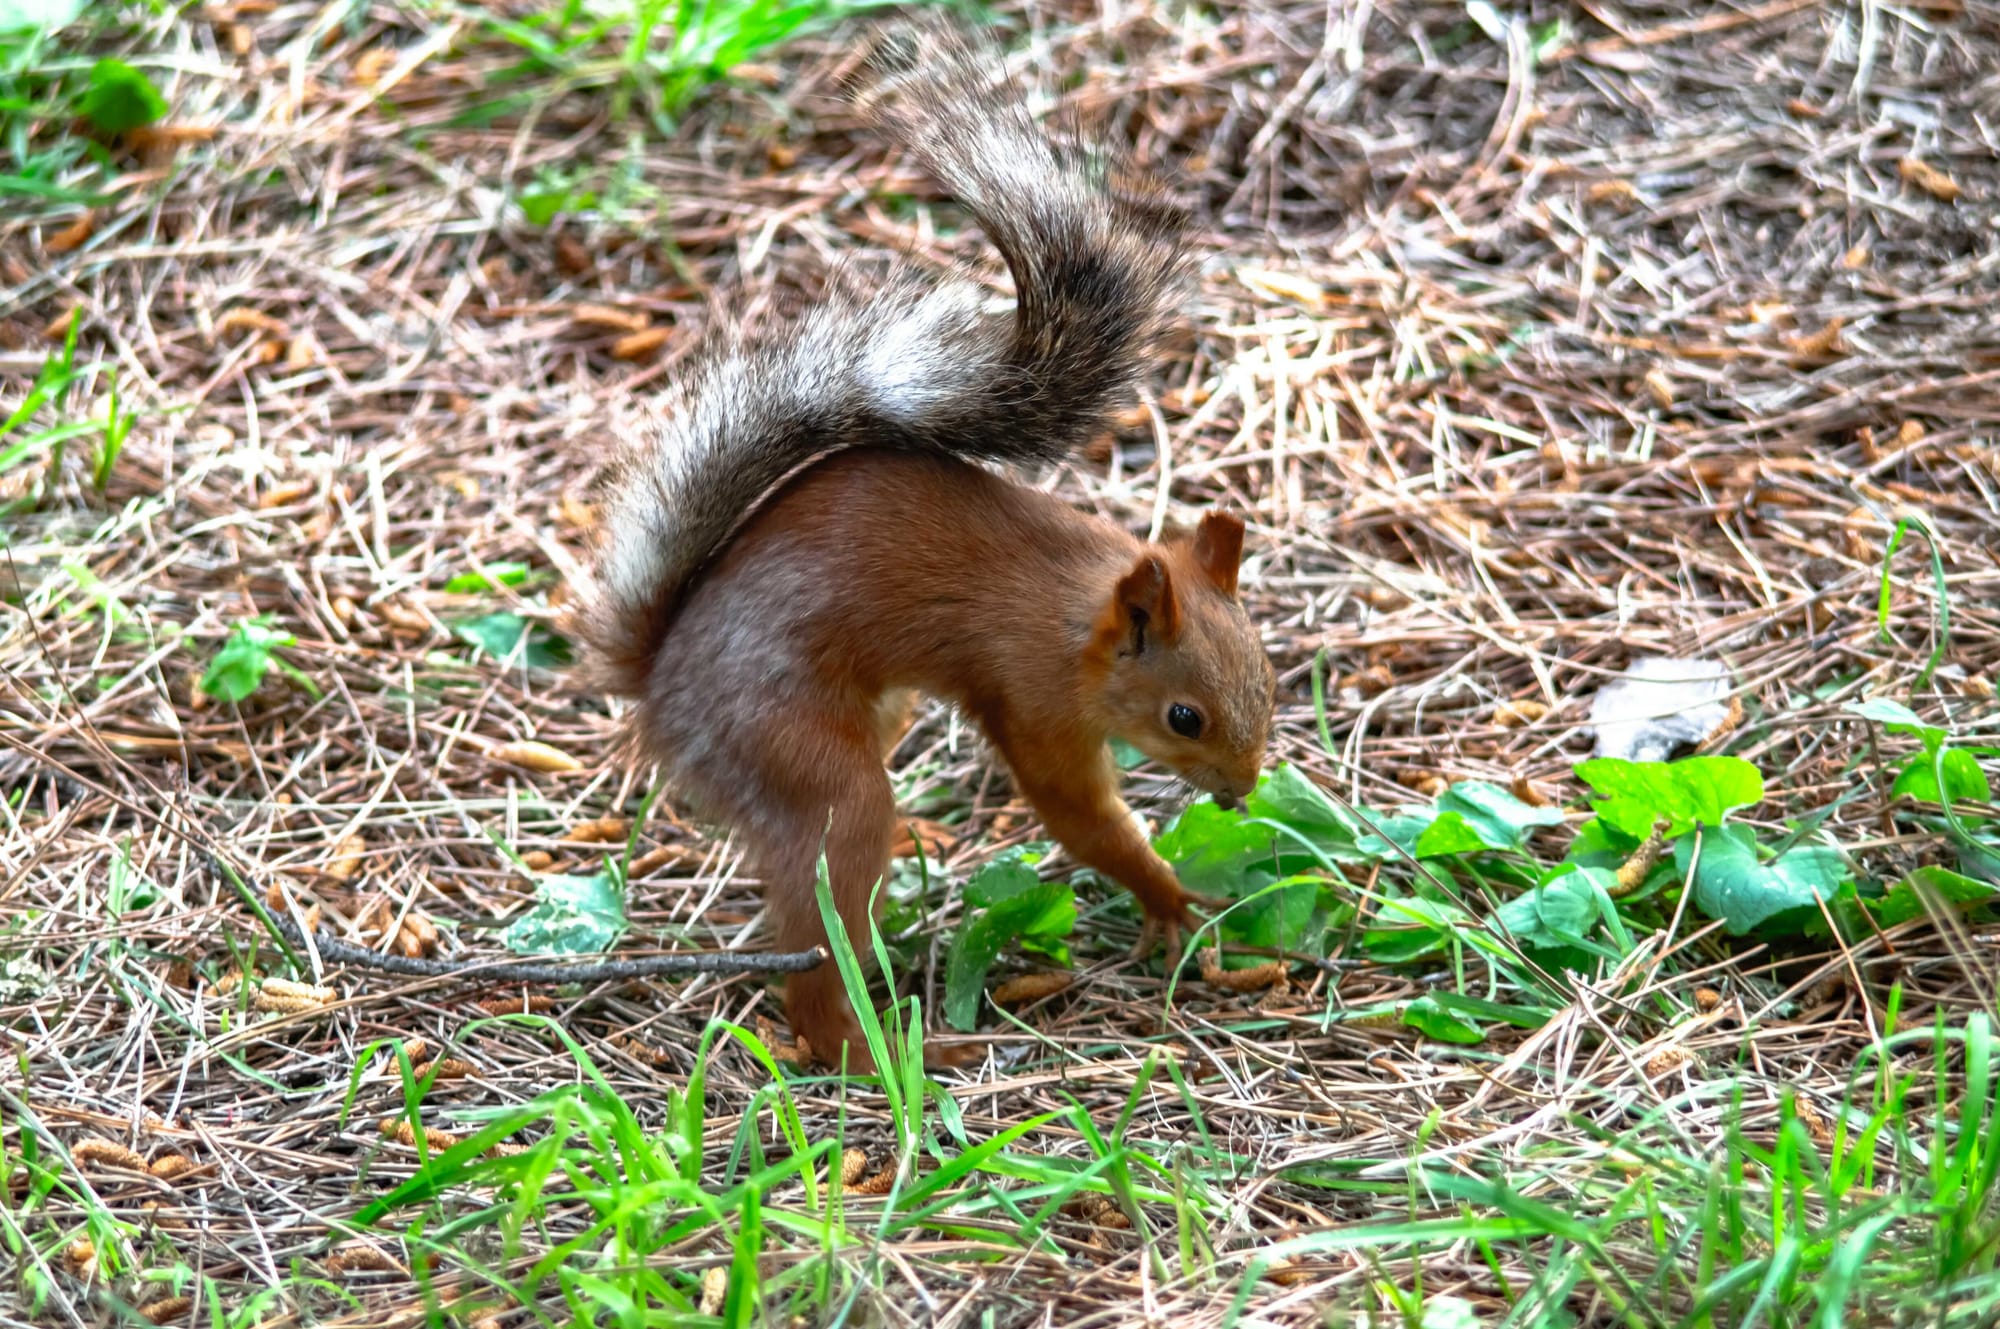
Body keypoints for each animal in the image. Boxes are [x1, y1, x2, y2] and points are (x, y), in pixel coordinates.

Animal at [572, 26, 1272, 1072]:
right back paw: (882, 1053)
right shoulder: (1034, 700)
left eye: (1269, 678)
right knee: (819, 954)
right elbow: (1079, 818)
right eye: (1184, 717)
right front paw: (1168, 896)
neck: (1082, 610)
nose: (1240, 793)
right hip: (803, 764)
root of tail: (659, 687)